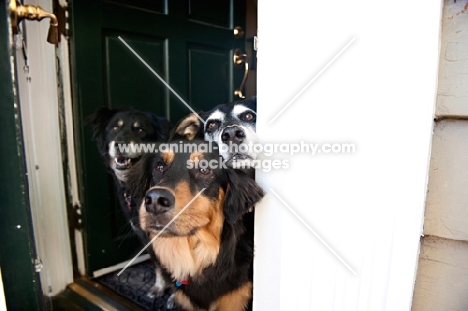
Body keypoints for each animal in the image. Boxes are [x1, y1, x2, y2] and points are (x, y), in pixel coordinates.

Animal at [85, 108, 173, 298]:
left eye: (140, 130)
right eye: (114, 128)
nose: (120, 143)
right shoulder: (145, 235)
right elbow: (159, 265)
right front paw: (160, 287)